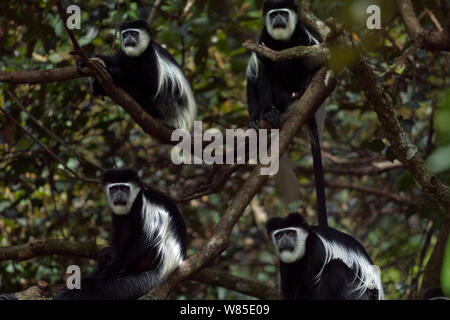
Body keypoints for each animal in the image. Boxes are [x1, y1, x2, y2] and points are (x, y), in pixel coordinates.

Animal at [55, 170, 187, 300]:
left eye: (124, 188)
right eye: (114, 189)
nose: (118, 193)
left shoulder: (142, 206)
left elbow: (143, 240)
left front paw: (107, 271)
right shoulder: (117, 215)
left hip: (141, 280)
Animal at [248, 0, 328, 225]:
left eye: (283, 13)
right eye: (274, 14)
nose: (278, 19)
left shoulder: (303, 35)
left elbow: (319, 63)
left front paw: (309, 78)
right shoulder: (262, 41)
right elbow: (262, 74)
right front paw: (267, 113)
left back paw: (304, 88)